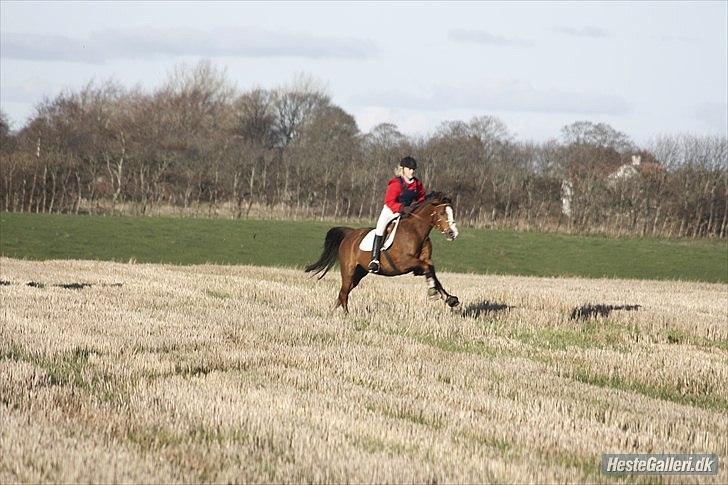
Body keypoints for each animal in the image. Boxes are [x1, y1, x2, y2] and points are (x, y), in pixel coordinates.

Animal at [306, 193, 460, 314]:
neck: (416, 232)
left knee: (343, 293)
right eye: (442, 213)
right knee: (344, 293)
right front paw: (433, 292)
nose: (453, 233)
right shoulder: (403, 263)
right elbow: (427, 268)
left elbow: (432, 271)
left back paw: (334, 312)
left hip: (359, 272)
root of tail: (350, 234)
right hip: (348, 270)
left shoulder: (424, 260)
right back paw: (346, 315)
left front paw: (450, 299)